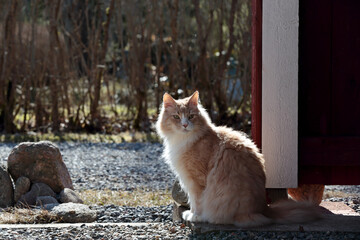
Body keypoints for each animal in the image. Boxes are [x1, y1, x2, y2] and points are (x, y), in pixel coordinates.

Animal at [155, 91, 320, 228]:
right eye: (176, 117)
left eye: (191, 116)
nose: (184, 125)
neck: (185, 139)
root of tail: (264, 209)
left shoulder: (196, 180)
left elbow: (196, 201)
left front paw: (195, 216)